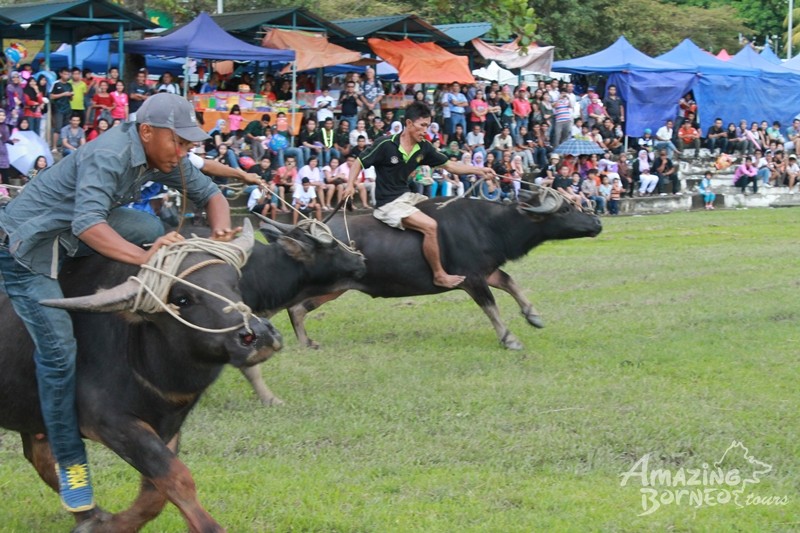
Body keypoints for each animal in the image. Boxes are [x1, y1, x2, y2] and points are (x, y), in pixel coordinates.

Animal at [0, 221, 282, 532]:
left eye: (234, 285)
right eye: (181, 298)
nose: (258, 335)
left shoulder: (168, 424)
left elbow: (155, 490)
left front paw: (113, 524)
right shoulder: (111, 423)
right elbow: (177, 477)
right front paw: (209, 527)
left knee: (39, 455)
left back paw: (90, 514)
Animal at [272, 187, 604, 350]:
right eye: (565, 209)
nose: (597, 223)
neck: (491, 225)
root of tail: (309, 230)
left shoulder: (487, 270)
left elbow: (510, 282)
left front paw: (533, 316)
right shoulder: (472, 278)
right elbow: (491, 306)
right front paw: (509, 338)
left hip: (335, 288)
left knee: (298, 308)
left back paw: (307, 342)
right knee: (294, 307)